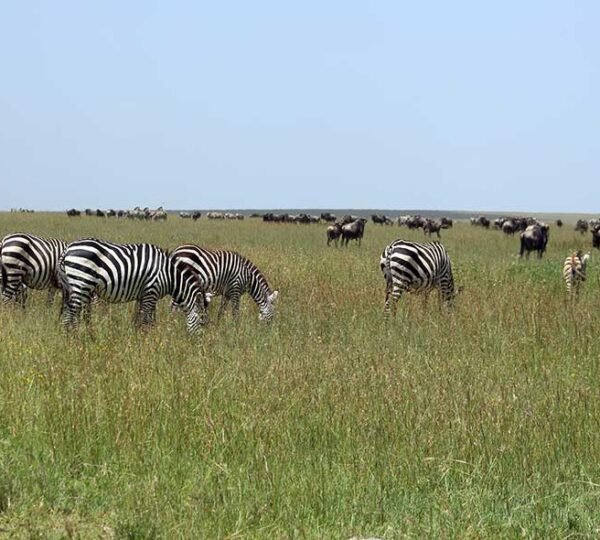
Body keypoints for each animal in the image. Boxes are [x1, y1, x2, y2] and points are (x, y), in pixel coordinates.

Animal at [58, 238, 212, 332]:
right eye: (202, 323)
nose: (201, 347)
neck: (169, 275)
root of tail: (67, 249)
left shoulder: (142, 295)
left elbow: (140, 319)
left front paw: (139, 338)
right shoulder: (151, 291)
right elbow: (147, 320)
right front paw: (147, 341)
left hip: (79, 286)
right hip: (81, 282)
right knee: (70, 313)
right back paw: (73, 340)